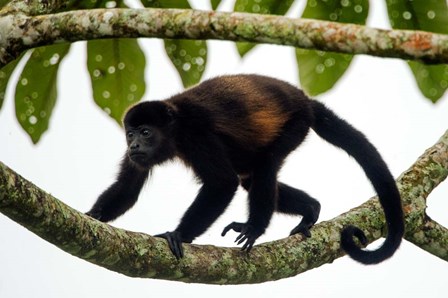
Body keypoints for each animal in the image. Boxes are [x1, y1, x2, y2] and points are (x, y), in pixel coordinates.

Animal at [86, 74, 404, 264]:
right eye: (130, 134)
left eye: (146, 132)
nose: (134, 145)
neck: (174, 129)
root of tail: (303, 99)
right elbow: (128, 189)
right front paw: (91, 217)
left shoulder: (197, 134)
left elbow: (223, 183)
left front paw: (178, 235)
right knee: (251, 179)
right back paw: (311, 208)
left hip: (296, 123)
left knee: (265, 166)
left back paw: (255, 227)